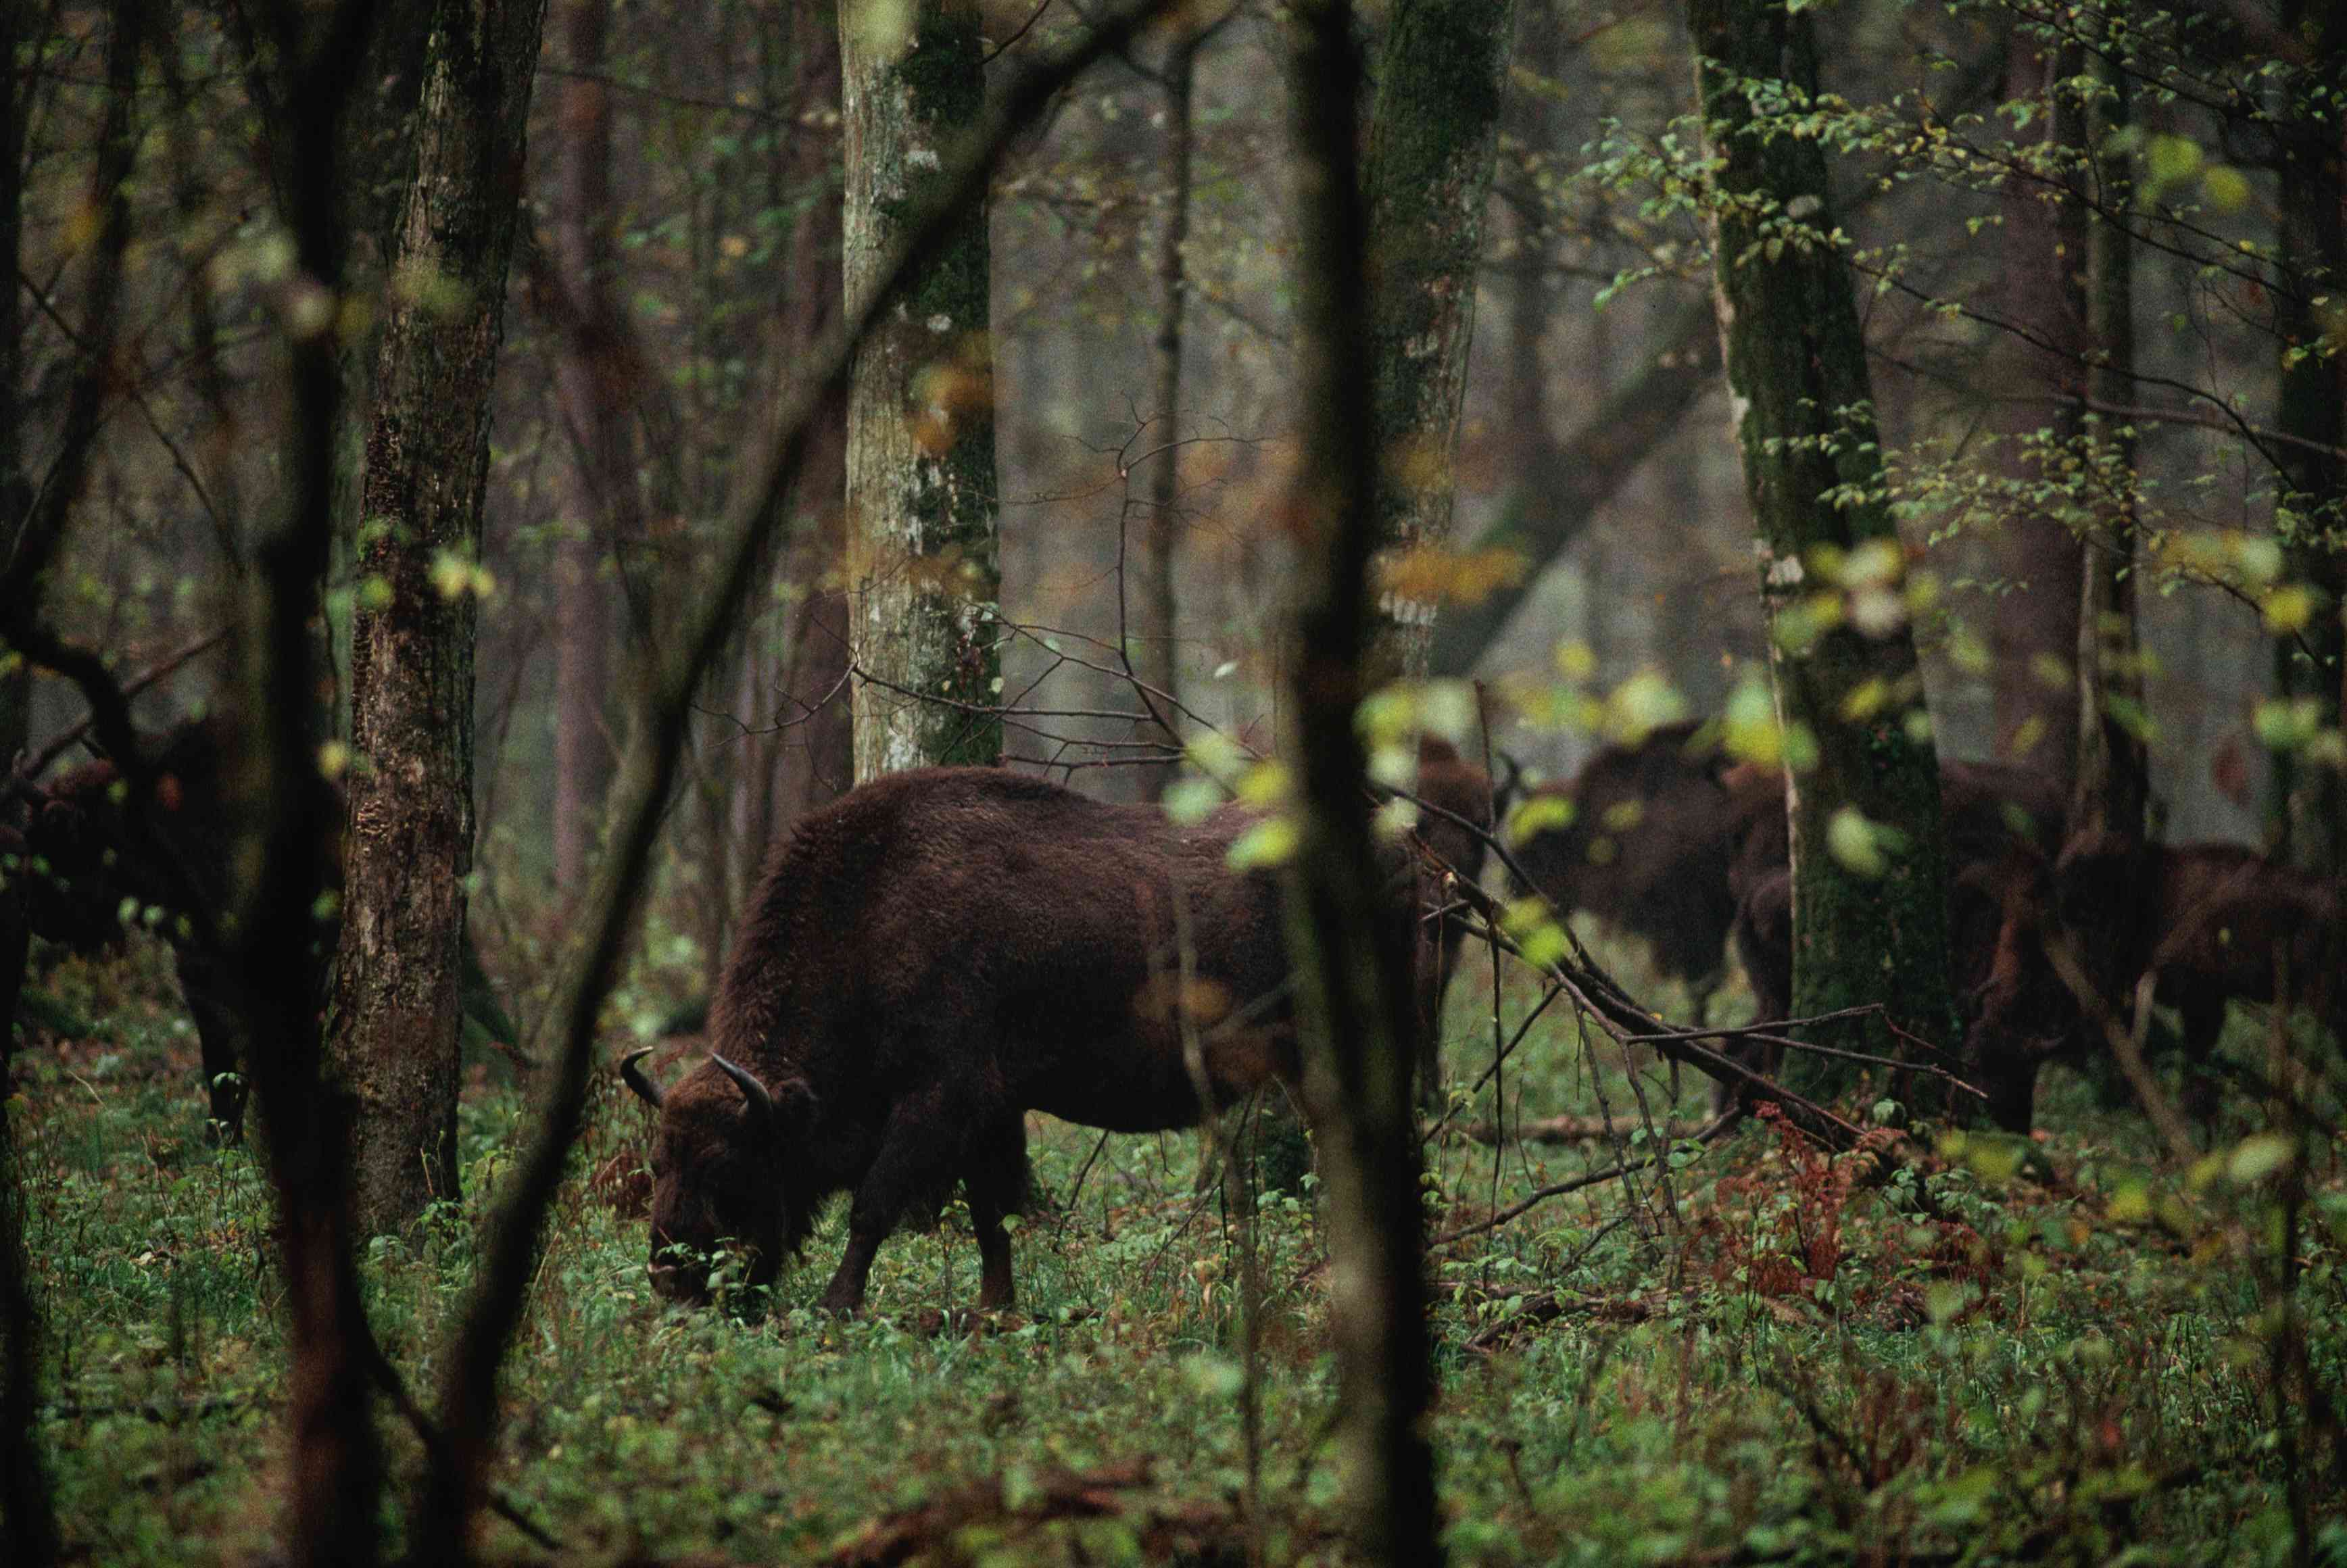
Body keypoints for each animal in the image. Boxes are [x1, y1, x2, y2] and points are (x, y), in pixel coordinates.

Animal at [624, 760, 1426, 1314]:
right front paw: (995, 1310)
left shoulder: (939, 1101)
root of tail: (1401, 851)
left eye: (729, 1165)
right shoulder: (990, 1113)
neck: (870, 917)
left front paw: (835, 1306)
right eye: (658, 1161)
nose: (669, 1277)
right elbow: (992, 1216)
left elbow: (874, 1204)